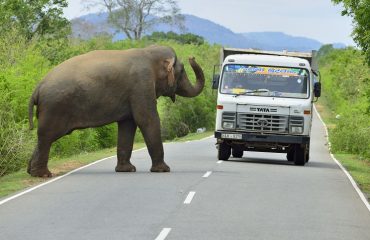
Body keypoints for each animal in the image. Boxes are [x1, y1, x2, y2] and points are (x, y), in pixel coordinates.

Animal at [27, 45, 205, 177]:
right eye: (182, 71)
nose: (192, 57)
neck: (147, 52)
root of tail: (37, 88)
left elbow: (128, 124)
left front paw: (127, 170)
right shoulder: (142, 84)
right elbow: (147, 119)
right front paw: (163, 170)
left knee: (44, 137)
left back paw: (32, 172)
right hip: (55, 107)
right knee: (47, 136)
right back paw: (43, 174)